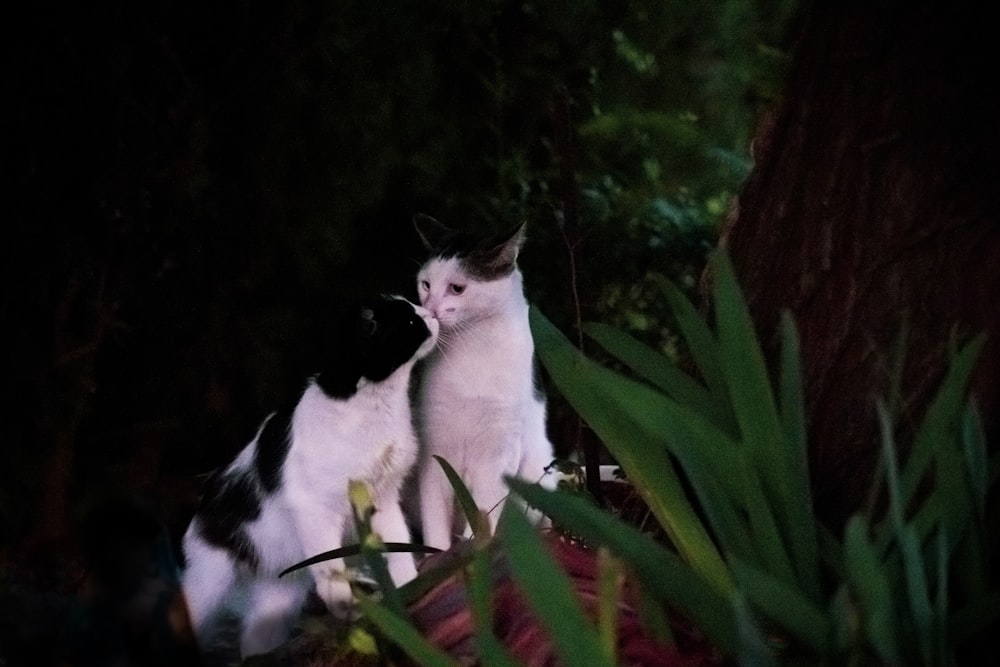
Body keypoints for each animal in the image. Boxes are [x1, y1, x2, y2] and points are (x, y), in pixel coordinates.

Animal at [181, 298, 438, 664]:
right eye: (412, 321)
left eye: (416, 307)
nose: (432, 312)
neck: (373, 401)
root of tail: (206, 495)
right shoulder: (314, 509)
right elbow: (331, 566)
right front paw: (347, 607)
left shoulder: (382, 499)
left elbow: (398, 544)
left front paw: (408, 585)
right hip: (209, 583)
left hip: (278, 598)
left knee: (255, 645)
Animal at [410, 217, 560, 552]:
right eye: (425, 284)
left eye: (457, 288)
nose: (430, 310)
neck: (472, 345)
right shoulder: (435, 449)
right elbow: (434, 519)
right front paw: (438, 558)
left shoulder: (498, 455)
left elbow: (482, 519)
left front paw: (472, 552)